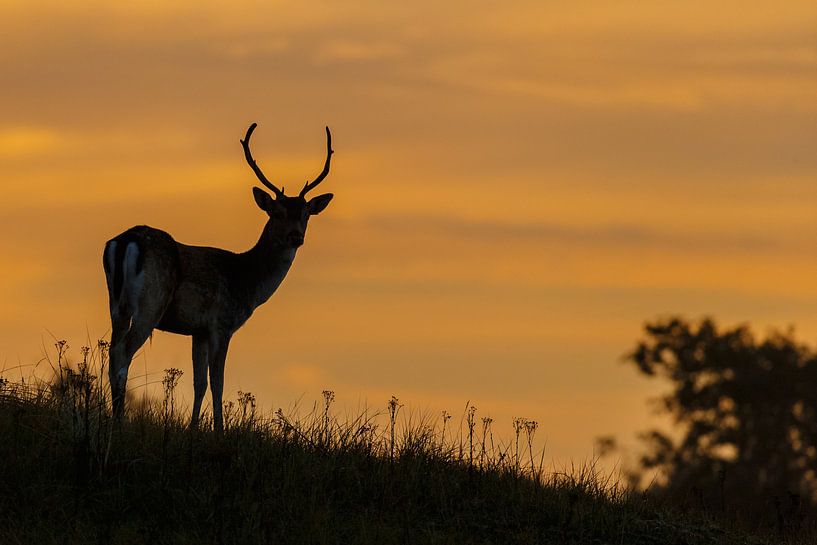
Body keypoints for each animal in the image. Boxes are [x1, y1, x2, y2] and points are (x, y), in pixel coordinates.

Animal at [103, 122, 334, 430]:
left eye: (307, 214)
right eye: (276, 212)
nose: (296, 236)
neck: (247, 281)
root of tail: (125, 241)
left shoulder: (197, 330)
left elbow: (199, 382)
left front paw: (193, 429)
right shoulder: (222, 324)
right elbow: (218, 382)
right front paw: (219, 431)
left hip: (117, 305)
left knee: (112, 351)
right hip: (150, 304)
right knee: (123, 353)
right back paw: (119, 419)